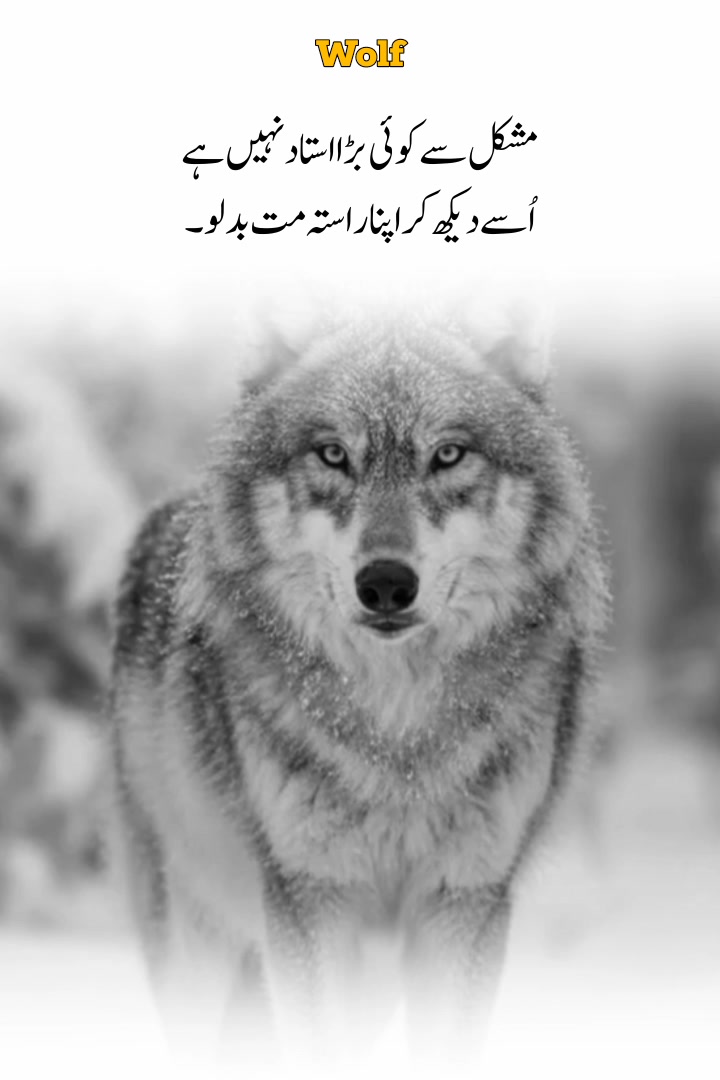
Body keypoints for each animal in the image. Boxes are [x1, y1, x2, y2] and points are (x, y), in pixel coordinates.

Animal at [108, 313, 608, 1069]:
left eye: (448, 455)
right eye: (334, 454)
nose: (387, 584)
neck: (399, 731)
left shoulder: (465, 900)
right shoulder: (310, 897)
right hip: (197, 936)